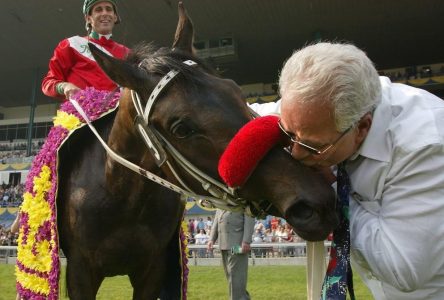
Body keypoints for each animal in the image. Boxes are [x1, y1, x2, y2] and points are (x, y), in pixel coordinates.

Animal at [57, 2, 338, 300]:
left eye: (237, 92)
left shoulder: (152, 268)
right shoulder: (80, 272)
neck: (119, 197)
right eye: (181, 128)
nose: (316, 201)